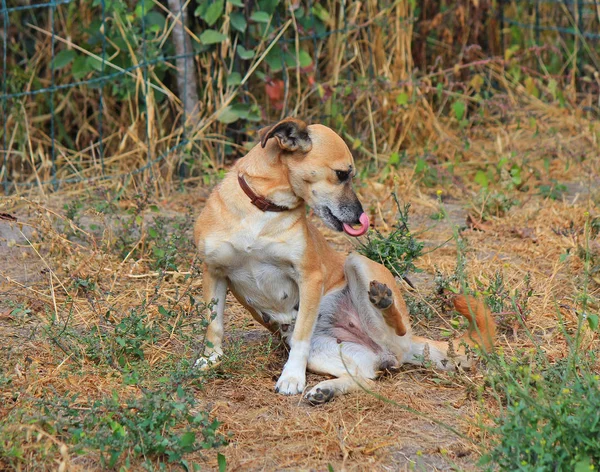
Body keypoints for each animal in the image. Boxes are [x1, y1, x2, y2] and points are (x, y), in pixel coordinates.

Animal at [195, 118, 494, 402]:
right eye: (341, 174)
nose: (361, 218)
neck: (263, 209)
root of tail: (409, 345)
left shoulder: (309, 277)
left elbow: (301, 335)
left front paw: (291, 377)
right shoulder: (213, 272)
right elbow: (214, 325)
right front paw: (210, 359)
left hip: (356, 262)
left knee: (395, 327)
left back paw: (383, 301)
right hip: (328, 353)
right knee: (366, 380)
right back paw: (326, 390)